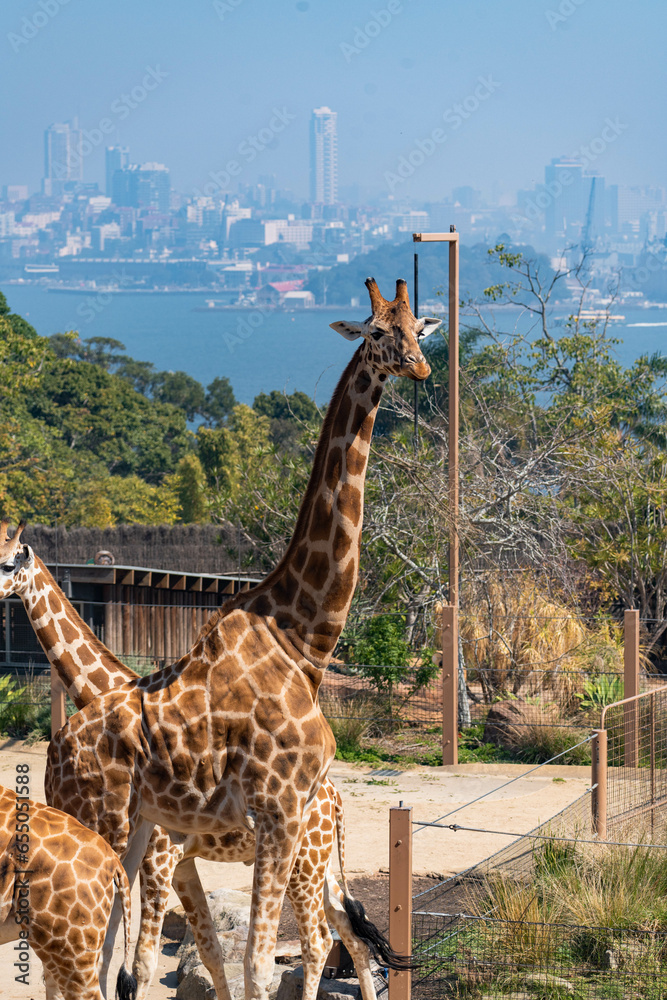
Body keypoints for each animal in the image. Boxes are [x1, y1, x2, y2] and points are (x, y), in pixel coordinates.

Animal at [43, 278, 438, 1000]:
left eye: (417, 327)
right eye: (375, 331)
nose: (420, 370)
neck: (304, 639)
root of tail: (56, 752)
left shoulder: (277, 818)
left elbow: (251, 956)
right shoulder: (277, 810)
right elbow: (256, 961)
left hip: (141, 828)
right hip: (101, 818)